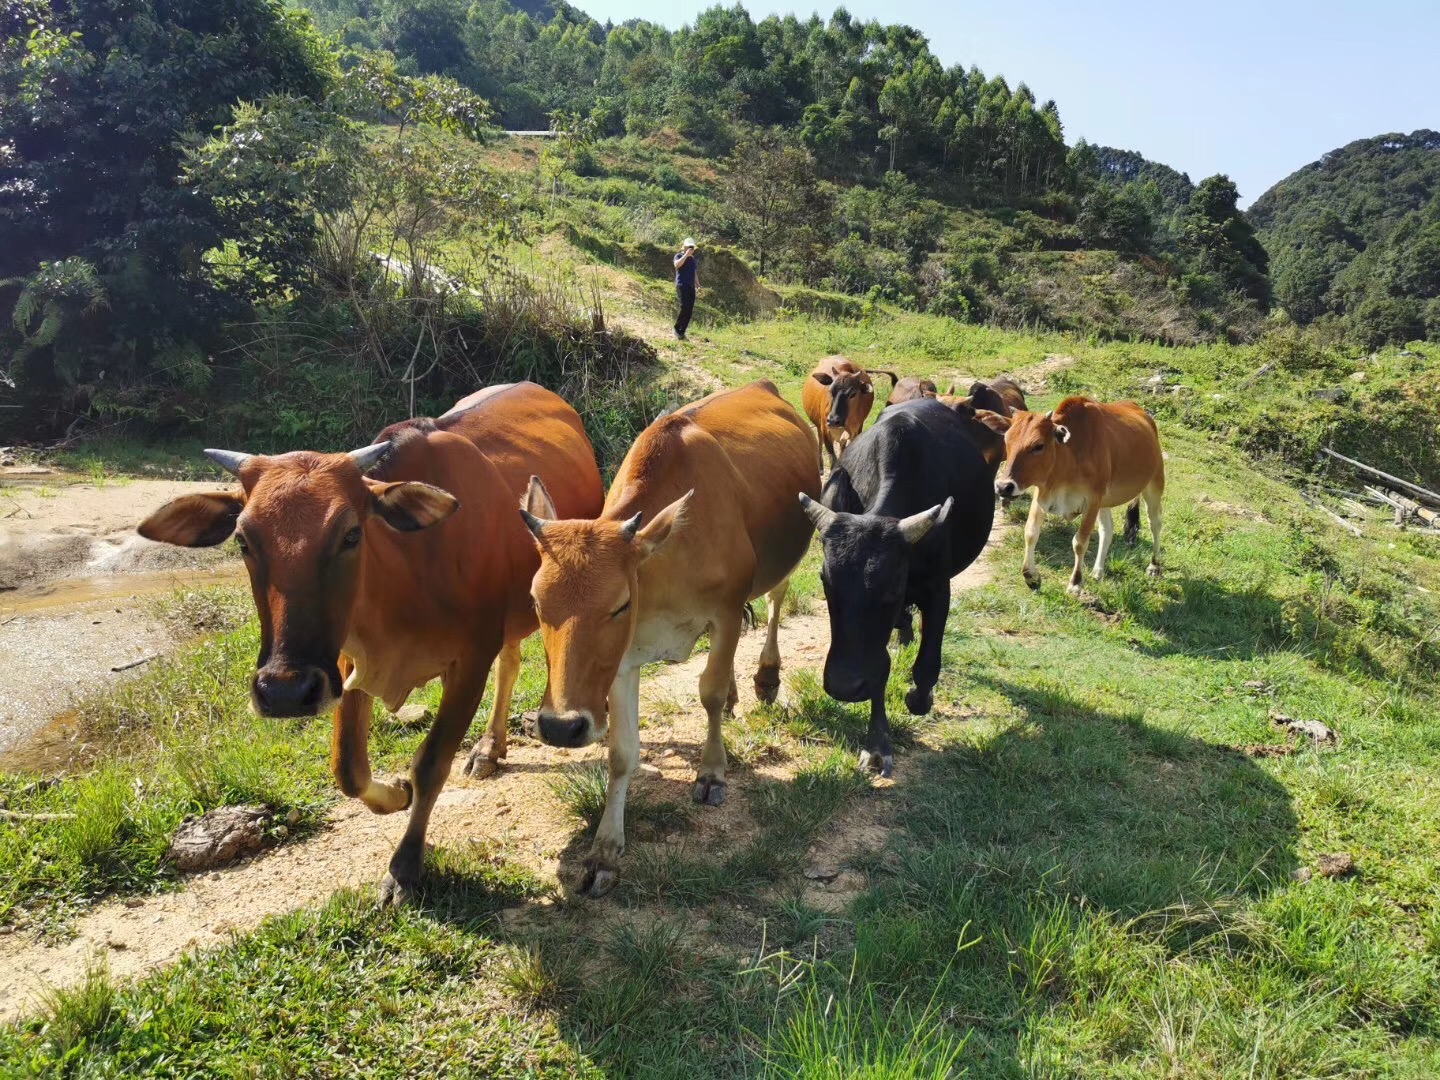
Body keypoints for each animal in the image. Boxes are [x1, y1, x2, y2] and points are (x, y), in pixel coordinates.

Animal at [135, 383, 601, 904]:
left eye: (351, 533)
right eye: (243, 540)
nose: (284, 693)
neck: (409, 567)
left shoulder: (471, 659)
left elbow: (431, 764)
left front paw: (405, 865)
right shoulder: (344, 664)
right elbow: (348, 767)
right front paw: (395, 794)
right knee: (512, 661)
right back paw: (488, 748)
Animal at [518, 380, 817, 898]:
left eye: (620, 603)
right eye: (536, 602)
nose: (561, 727)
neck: (663, 566)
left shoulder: (724, 613)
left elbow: (709, 692)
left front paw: (712, 771)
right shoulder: (622, 662)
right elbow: (621, 753)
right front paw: (604, 851)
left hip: (783, 560)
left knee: (776, 601)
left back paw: (766, 676)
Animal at [800, 400, 1002, 777]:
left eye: (892, 588)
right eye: (825, 581)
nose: (844, 686)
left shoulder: (938, 591)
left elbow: (927, 664)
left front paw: (918, 698)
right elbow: (880, 668)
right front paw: (877, 744)